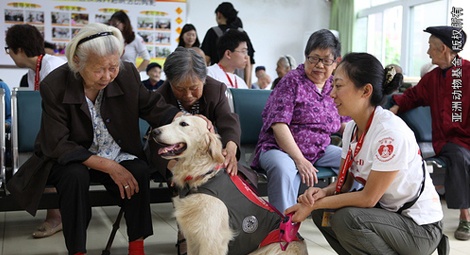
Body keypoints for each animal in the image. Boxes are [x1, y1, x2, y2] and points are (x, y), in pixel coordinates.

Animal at [152, 116, 308, 255]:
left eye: (183, 124)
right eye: (172, 121)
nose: (154, 131)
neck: (203, 175)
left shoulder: (211, 240)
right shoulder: (193, 239)